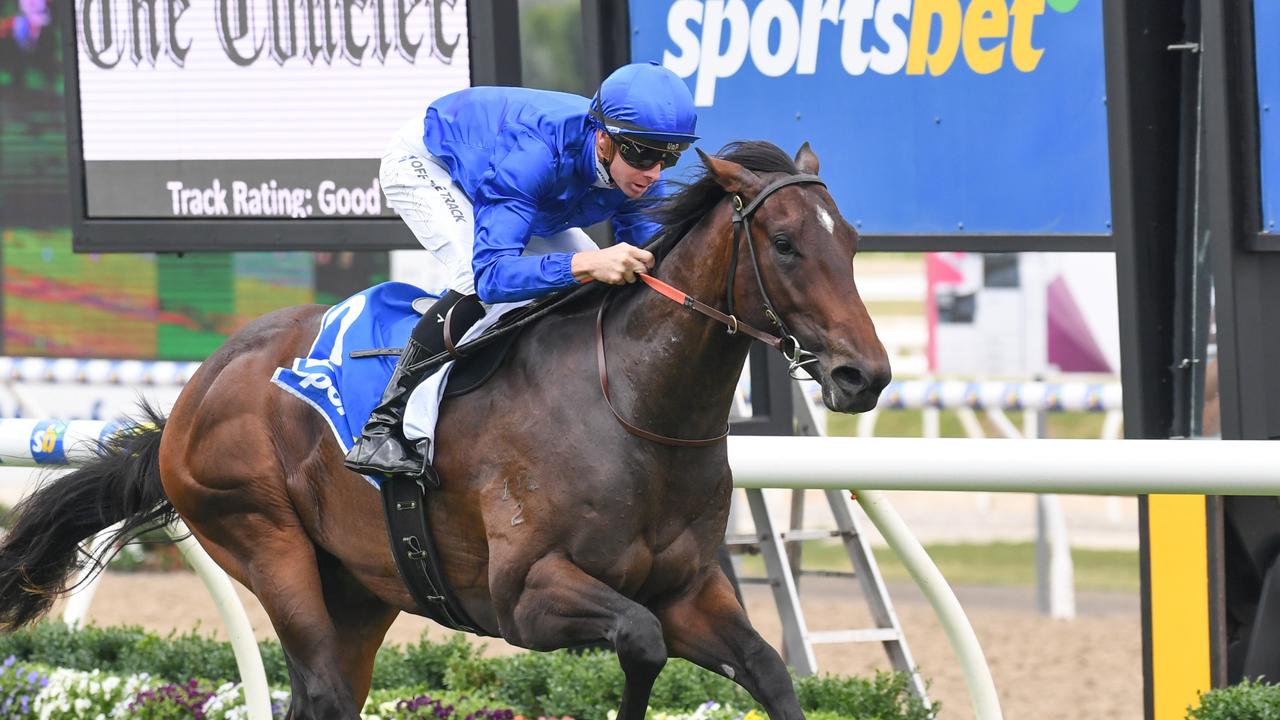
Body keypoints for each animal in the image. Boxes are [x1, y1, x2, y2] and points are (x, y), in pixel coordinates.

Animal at [0, 141, 890, 717]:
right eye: (785, 243)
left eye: (850, 242)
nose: (867, 375)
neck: (635, 409)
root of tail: (199, 389)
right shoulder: (527, 595)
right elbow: (641, 645)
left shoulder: (688, 590)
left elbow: (769, 671)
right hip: (259, 535)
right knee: (321, 689)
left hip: (360, 585)